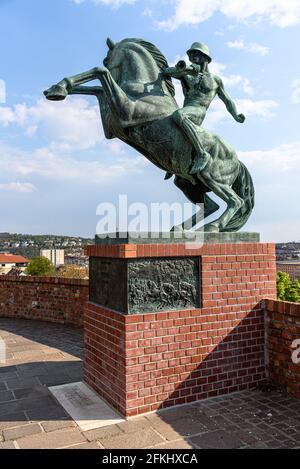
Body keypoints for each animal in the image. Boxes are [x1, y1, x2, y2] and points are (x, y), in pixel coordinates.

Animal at [44, 36, 254, 232]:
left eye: (106, 59)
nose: (189, 62)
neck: (144, 89)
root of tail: (238, 161)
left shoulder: (125, 112)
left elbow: (100, 73)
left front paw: (60, 88)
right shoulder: (112, 125)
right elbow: (97, 89)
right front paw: (56, 89)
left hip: (211, 177)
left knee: (235, 201)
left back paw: (214, 226)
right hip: (187, 182)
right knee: (210, 205)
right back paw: (181, 228)